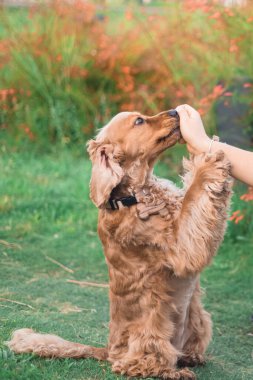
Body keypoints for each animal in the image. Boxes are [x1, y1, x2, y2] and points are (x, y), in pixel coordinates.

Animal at [7, 110, 232, 380]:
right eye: (139, 121)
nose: (174, 112)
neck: (134, 196)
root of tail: (108, 349)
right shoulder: (181, 248)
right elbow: (196, 194)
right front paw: (209, 161)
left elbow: (192, 194)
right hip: (151, 332)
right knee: (139, 364)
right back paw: (175, 372)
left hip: (199, 318)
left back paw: (192, 357)